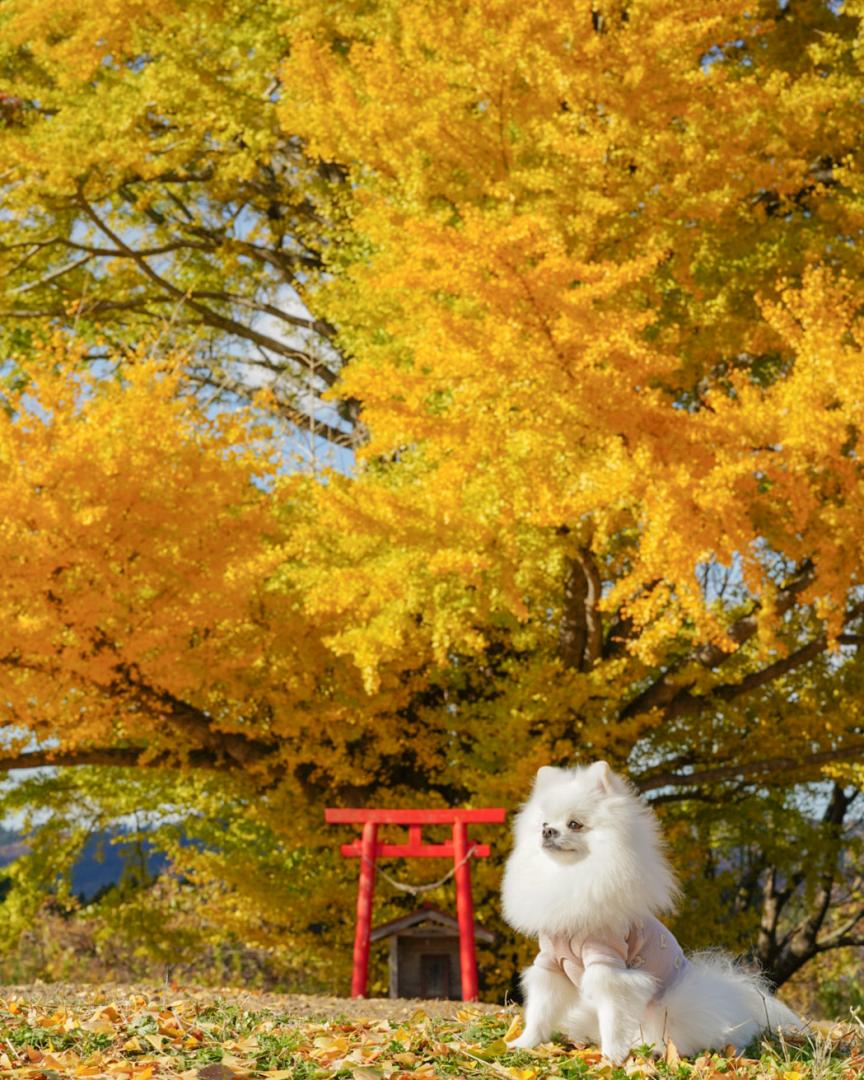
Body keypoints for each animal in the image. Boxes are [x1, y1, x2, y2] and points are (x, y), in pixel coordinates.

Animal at [503, 760, 799, 1062]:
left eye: (575, 824)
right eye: (544, 823)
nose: (548, 831)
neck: (569, 875)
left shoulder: (608, 964)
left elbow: (613, 1018)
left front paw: (612, 1057)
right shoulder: (551, 964)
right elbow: (540, 1010)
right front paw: (524, 1043)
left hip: (668, 1008)